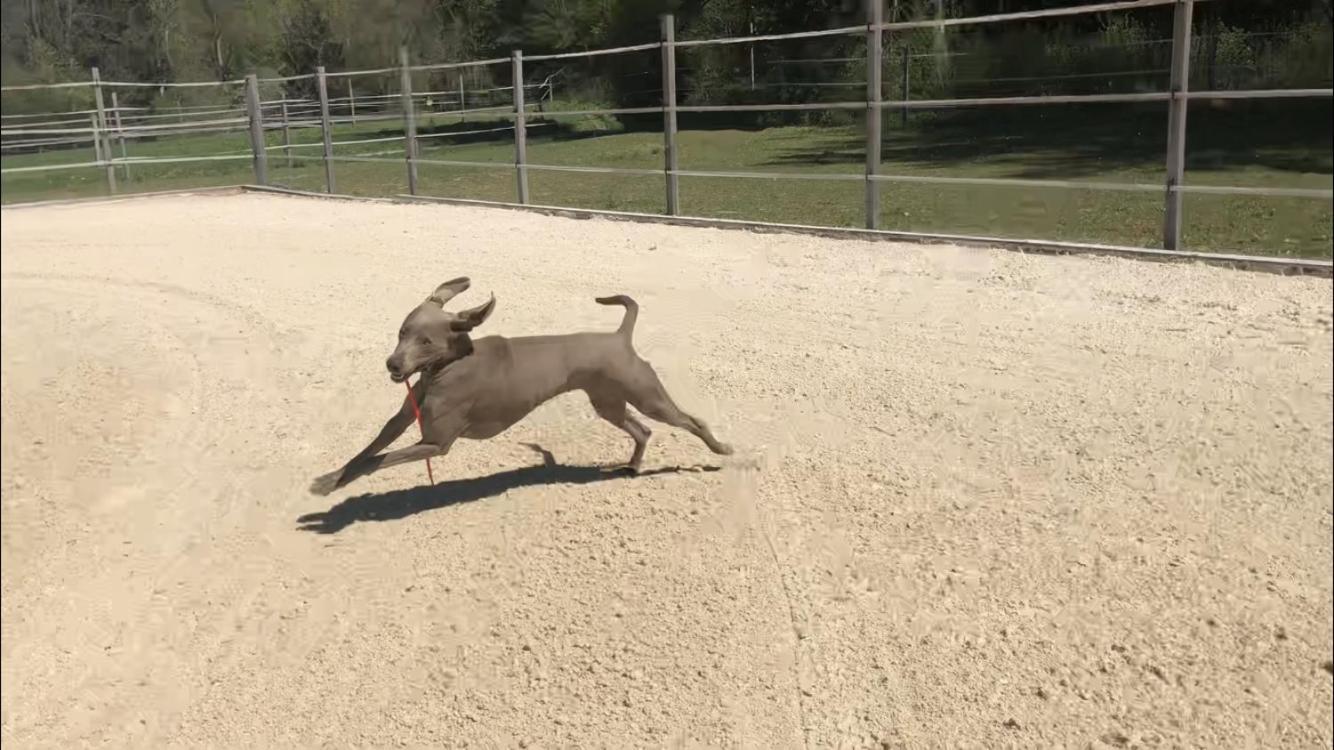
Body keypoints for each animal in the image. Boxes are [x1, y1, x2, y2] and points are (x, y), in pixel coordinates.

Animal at [308, 277, 736, 493]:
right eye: (402, 332)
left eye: (426, 341)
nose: (393, 364)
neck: (445, 369)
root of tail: (619, 337)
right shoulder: (401, 421)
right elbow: (365, 453)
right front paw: (329, 480)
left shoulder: (437, 443)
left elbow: (379, 459)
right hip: (608, 402)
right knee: (642, 430)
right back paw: (632, 466)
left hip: (647, 396)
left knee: (690, 421)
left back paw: (722, 450)